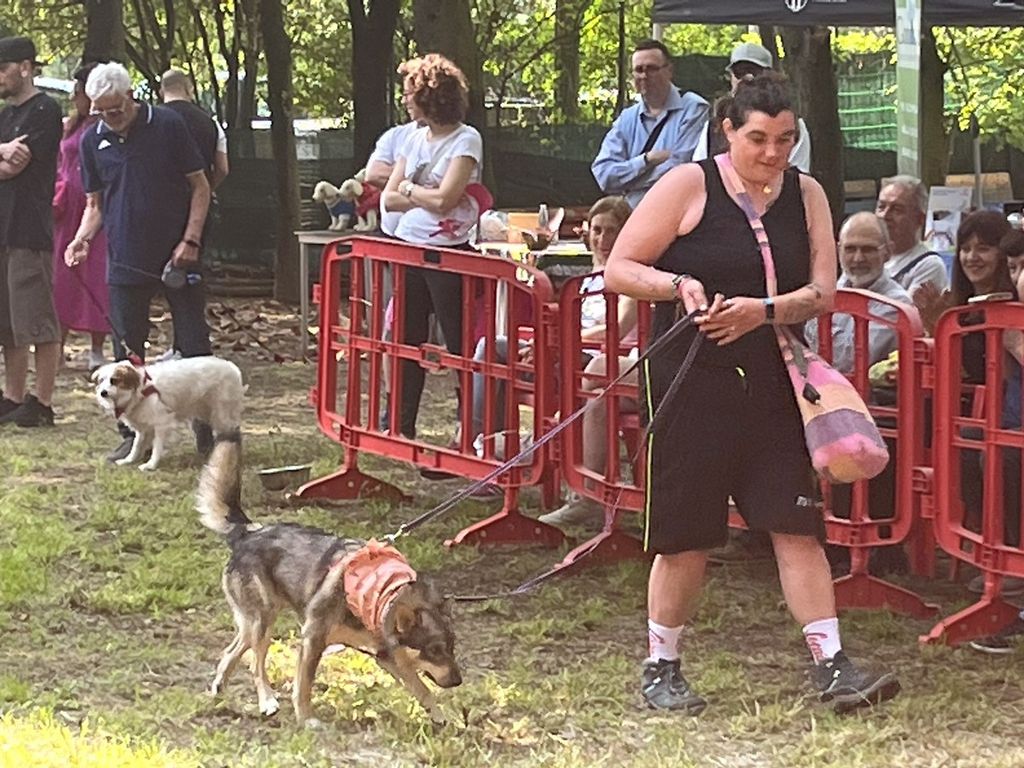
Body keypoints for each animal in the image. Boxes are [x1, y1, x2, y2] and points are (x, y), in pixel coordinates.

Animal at [93, 356, 244, 471]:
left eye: (114, 380)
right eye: (101, 380)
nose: (103, 393)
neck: (141, 391)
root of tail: (231, 366)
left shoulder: (161, 423)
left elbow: (156, 447)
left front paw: (151, 465)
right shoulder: (143, 428)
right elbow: (136, 445)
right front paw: (129, 460)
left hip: (221, 414)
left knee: (232, 432)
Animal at [198, 435, 461, 726]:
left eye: (452, 648)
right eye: (434, 650)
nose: (458, 681)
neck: (381, 591)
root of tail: (248, 531)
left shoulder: (385, 655)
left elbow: (421, 688)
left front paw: (440, 717)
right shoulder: (312, 639)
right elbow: (304, 685)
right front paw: (306, 719)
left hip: (254, 623)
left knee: (231, 651)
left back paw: (219, 688)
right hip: (262, 623)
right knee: (257, 664)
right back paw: (266, 700)